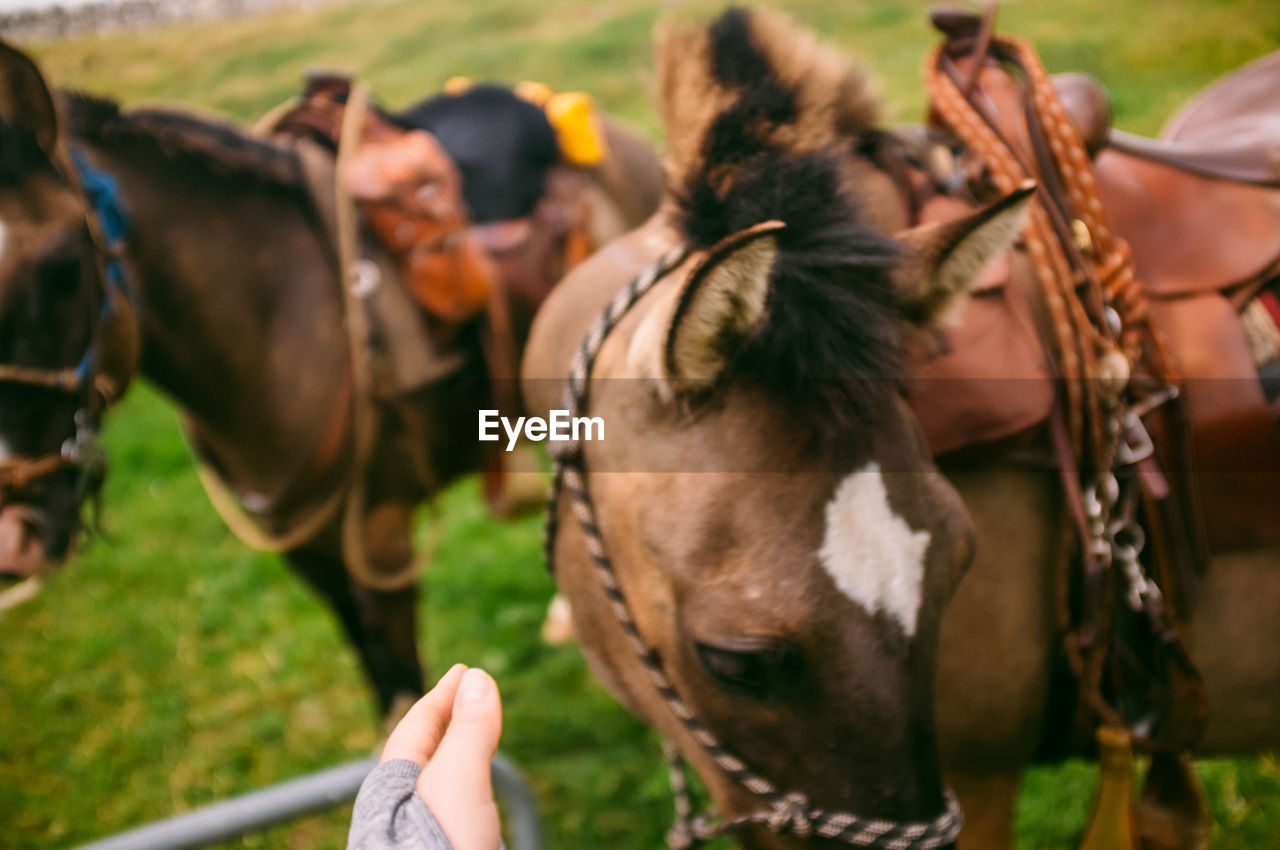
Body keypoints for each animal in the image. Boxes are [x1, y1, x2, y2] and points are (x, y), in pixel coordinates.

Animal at [0, 39, 660, 716]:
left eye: (61, 270)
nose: (13, 536)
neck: (277, 322)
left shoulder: (378, 540)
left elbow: (399, 679)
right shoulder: (304, 548)